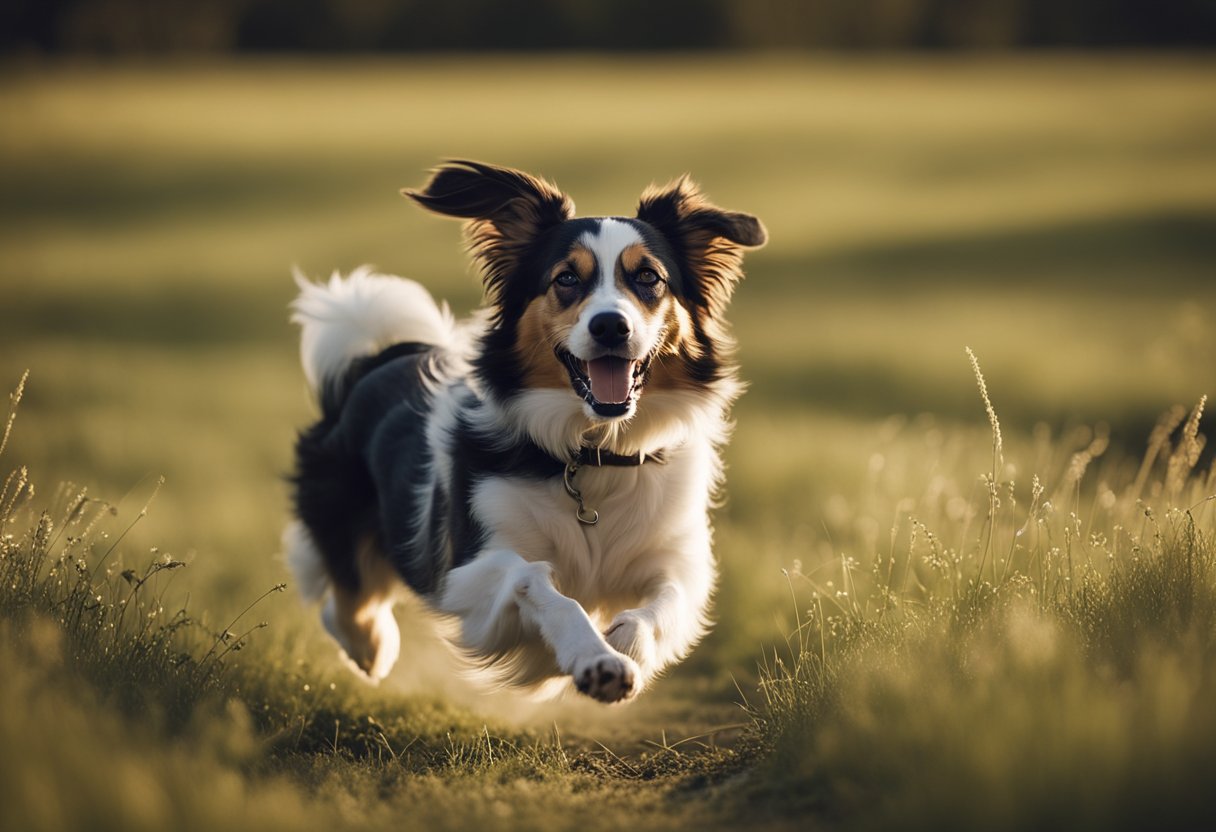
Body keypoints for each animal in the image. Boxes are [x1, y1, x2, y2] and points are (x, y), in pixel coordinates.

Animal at [280, 162, 763, 700]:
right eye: (566, 278)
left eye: (648, 277)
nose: (610, 326)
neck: (593, 449)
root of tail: (379, 358)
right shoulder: (465, 572)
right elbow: (535, 580)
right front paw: (594, 657)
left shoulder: (676, 556)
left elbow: (663, 603)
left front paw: (625, 644)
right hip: (344, 520)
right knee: (347, 597)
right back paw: (372, 647)